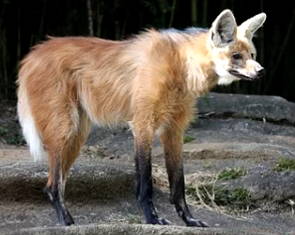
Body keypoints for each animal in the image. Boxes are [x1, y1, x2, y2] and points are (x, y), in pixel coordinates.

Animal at [17, 9, 268, 228]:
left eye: (252, 55)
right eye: (236, 56)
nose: (261, 71)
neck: (181, 65)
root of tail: (32, 54)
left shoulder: (174, 130)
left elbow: (178, 183)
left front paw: (189, 220)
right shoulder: (142, 124)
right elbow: (146, 182)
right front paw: (153, 219)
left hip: (78, 135)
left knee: (57, 182)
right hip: (65, 128)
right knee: (52, 185)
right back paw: (66, 221)